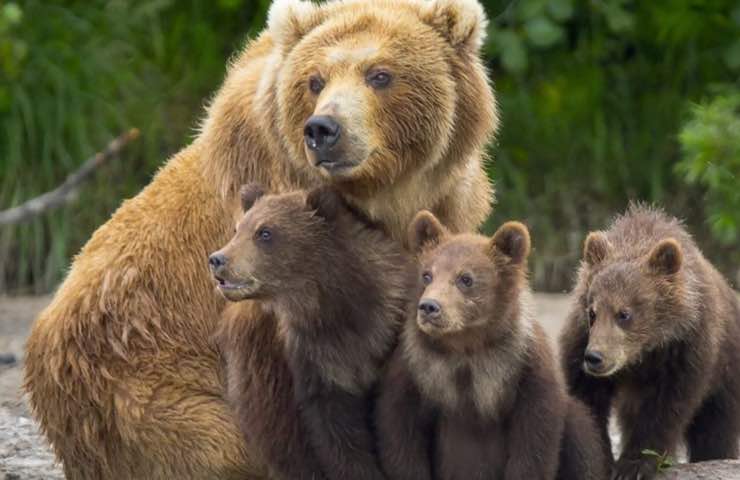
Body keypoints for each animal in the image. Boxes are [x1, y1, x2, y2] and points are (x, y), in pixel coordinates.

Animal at [376, 211, 608, 480]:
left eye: (465, 278)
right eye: (427, 274)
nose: (429, 307)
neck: (466, 346)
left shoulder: (524, 368)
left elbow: (535, 442)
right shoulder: (416, 368)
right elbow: (400, 435)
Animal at [560, 203, 740, 480]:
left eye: (624, 314)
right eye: (592, 312)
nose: (594, 358)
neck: (643, 352)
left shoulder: (685, 349)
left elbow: (666, 408)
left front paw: (634, 465)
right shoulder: (581, 339)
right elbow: (588, 398)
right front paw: (600, 458)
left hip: (726, 374)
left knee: (716, 428)